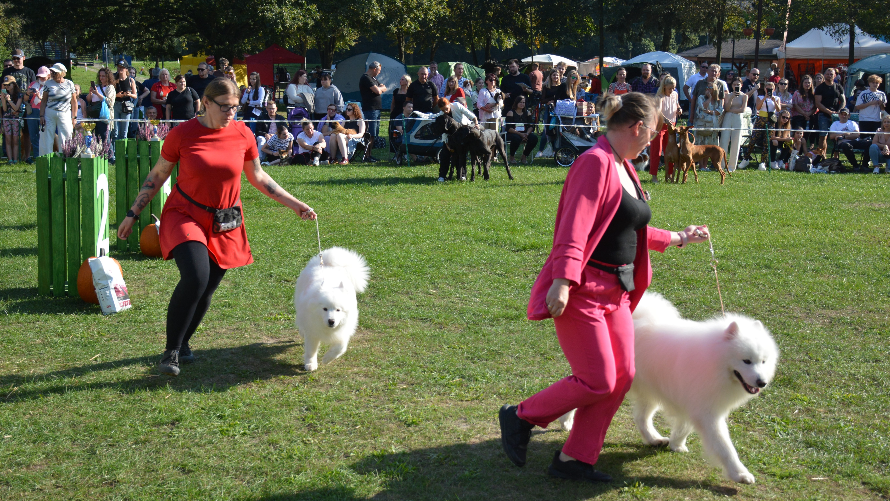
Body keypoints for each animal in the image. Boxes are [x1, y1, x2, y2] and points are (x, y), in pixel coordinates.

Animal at [560, 292, 776, 482]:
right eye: (746, 361)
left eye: (763, 361)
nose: (762, 382)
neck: (715, 359)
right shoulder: (708, 413)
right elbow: (725, 447)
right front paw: (740, 474)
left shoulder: (693, 404)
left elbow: (684, 426)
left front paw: (676, 444)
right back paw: (566, 421)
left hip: (649, 390)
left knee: (641, 418)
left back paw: (654, 439)